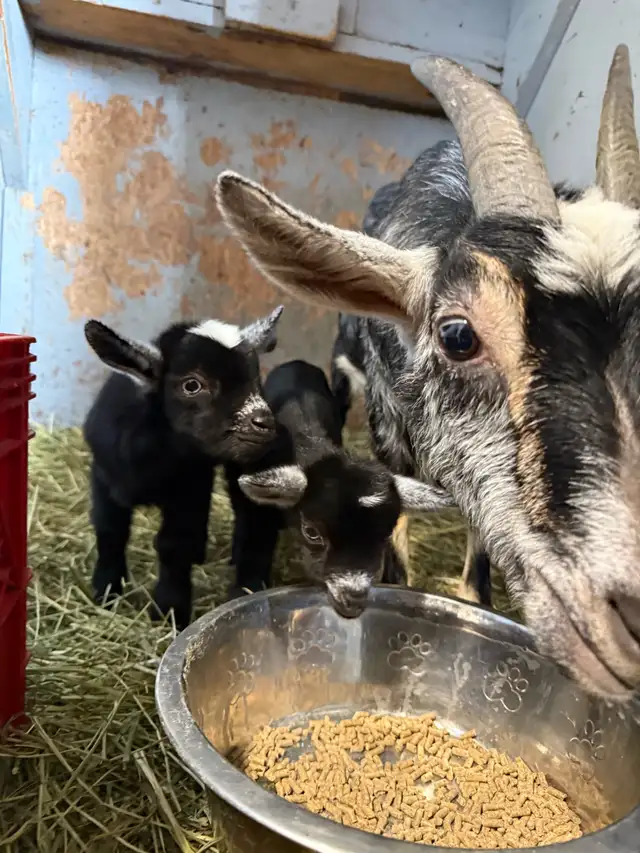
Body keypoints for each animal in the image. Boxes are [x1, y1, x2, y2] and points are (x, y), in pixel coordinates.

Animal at [83, 307, 283, 631]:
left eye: (255, 377)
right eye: (192, 384)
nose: (263, 422)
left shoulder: (189, 487)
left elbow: (174, 545)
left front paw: (169, 611)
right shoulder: (103, 477)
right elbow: (109, 530)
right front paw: (106, 590)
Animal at [225, 359, 453, 616]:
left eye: (385, 535)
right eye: (311, 532)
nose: (353, 599)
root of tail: (297, 362)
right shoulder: (257, 512)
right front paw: (244, 589)